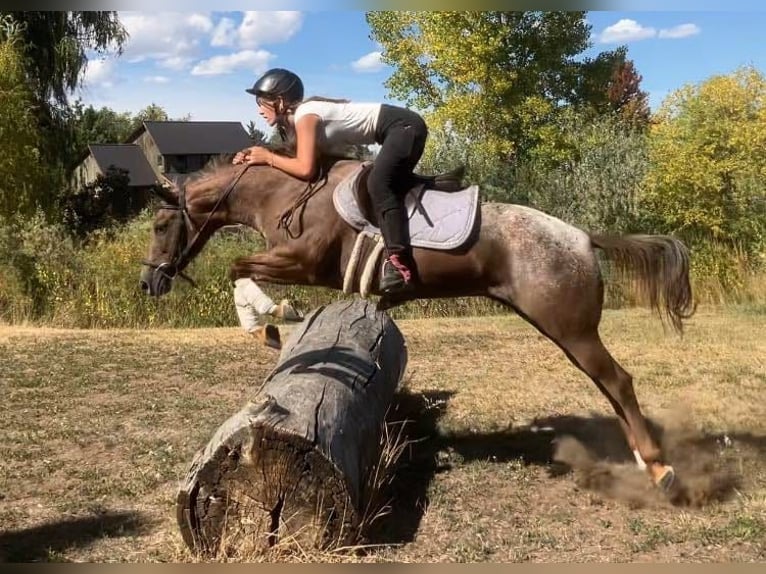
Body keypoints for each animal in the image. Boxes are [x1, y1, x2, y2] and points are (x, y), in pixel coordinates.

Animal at [138, 156, 696, 496]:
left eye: (161, 225)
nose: (148, 284)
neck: (288, 192)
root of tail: (582, 237)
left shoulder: (303, 262)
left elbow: (239, 270)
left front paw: (271, 321)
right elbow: (240, 269)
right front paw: (272, 324)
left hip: (570, 328)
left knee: (618, 381)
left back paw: (660, 468)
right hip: (564, 328)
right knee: (609, 386)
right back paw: (643, 460)